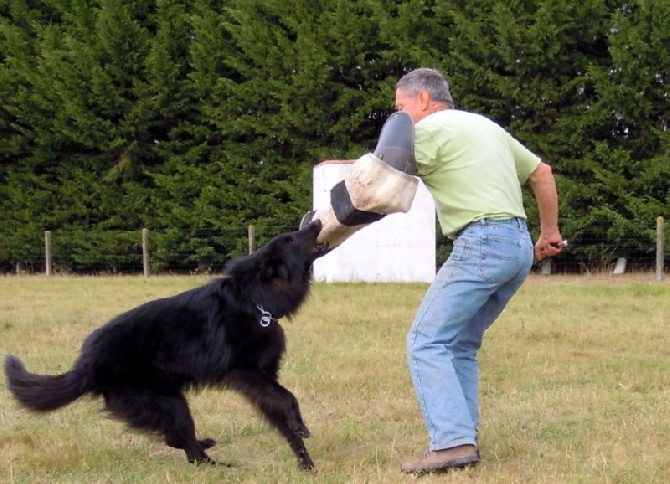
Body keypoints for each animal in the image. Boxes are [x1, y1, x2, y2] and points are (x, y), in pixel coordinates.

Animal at [2, 222, 322, 468]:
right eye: (292, 239)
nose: (317, 222)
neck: (257, 302)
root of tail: (85, 365)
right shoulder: (246, 372)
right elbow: (288, 398)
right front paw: (301, 427)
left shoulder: (262, 379)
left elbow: (281, 413)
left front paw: (304, 460)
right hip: (169, 401)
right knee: (186, 447)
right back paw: (218, 463)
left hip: (167, 400)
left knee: (176, 440)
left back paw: (206, 446)